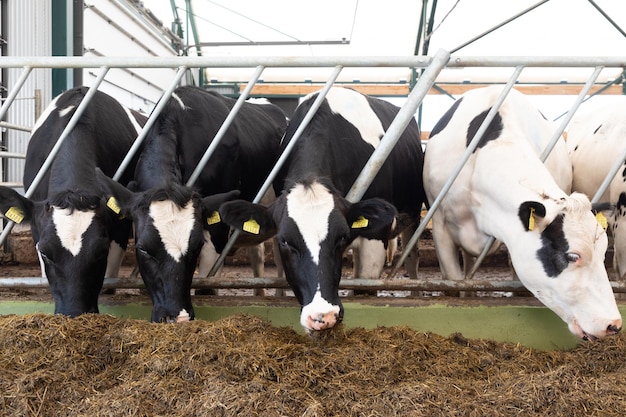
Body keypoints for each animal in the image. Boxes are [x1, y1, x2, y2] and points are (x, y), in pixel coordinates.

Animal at [217, 87, 426, 332]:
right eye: (285, 241)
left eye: (341, 237)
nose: (322, 315)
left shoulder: (375, 237)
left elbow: (365, 288)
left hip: (412, 214)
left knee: (412, 256)